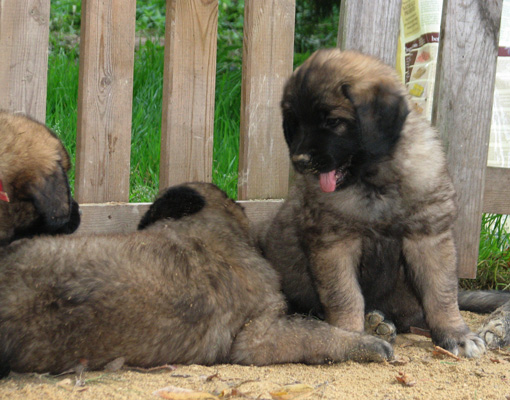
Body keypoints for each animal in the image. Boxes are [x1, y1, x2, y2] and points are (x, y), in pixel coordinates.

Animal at [258, 48, 486, 358]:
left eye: (333, 121)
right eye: (294, 123)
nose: (300, 161)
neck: (375, 182)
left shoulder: (428, 236)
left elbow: (441, 293)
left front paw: (456, 335)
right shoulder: (334, 243)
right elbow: (344, 295)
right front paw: (350, 336)